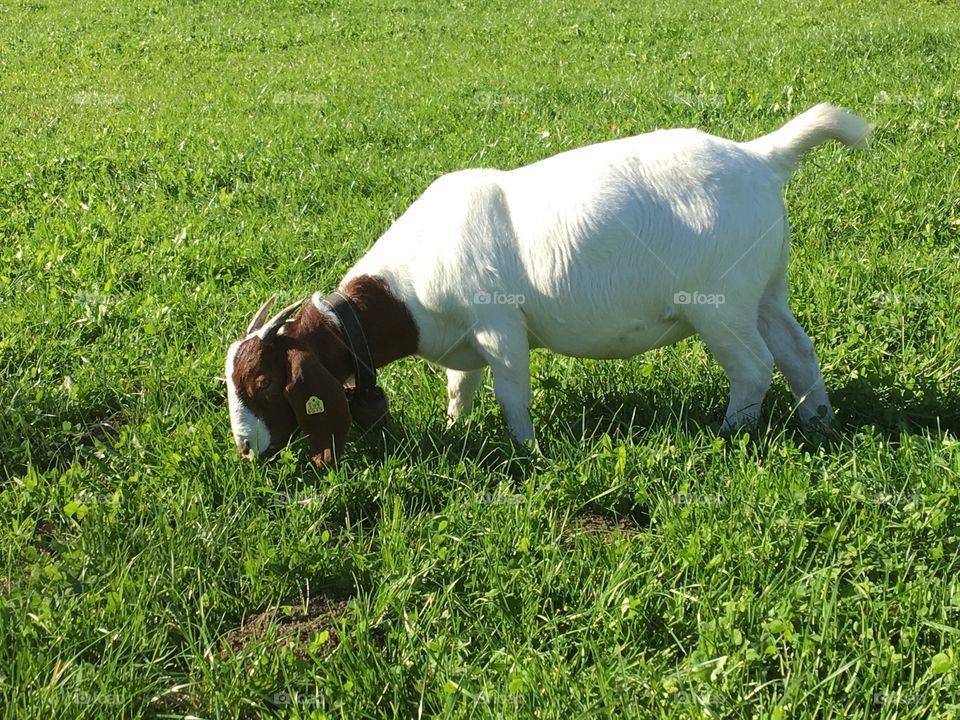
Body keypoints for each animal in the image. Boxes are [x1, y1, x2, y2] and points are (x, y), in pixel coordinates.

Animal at [226, 103, 870, 468]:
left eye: (263, 381)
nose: (243, 448)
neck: (408, 288)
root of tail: (759, 157)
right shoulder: (464, 344)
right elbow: (460, 387)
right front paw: (457, 430)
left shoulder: (499, 327)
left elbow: (513, 394)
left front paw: (526, 453)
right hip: (766, 289)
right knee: (797, 350)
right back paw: (819, 423)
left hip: (721, 304)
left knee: (755, 367)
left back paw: (730, 431)